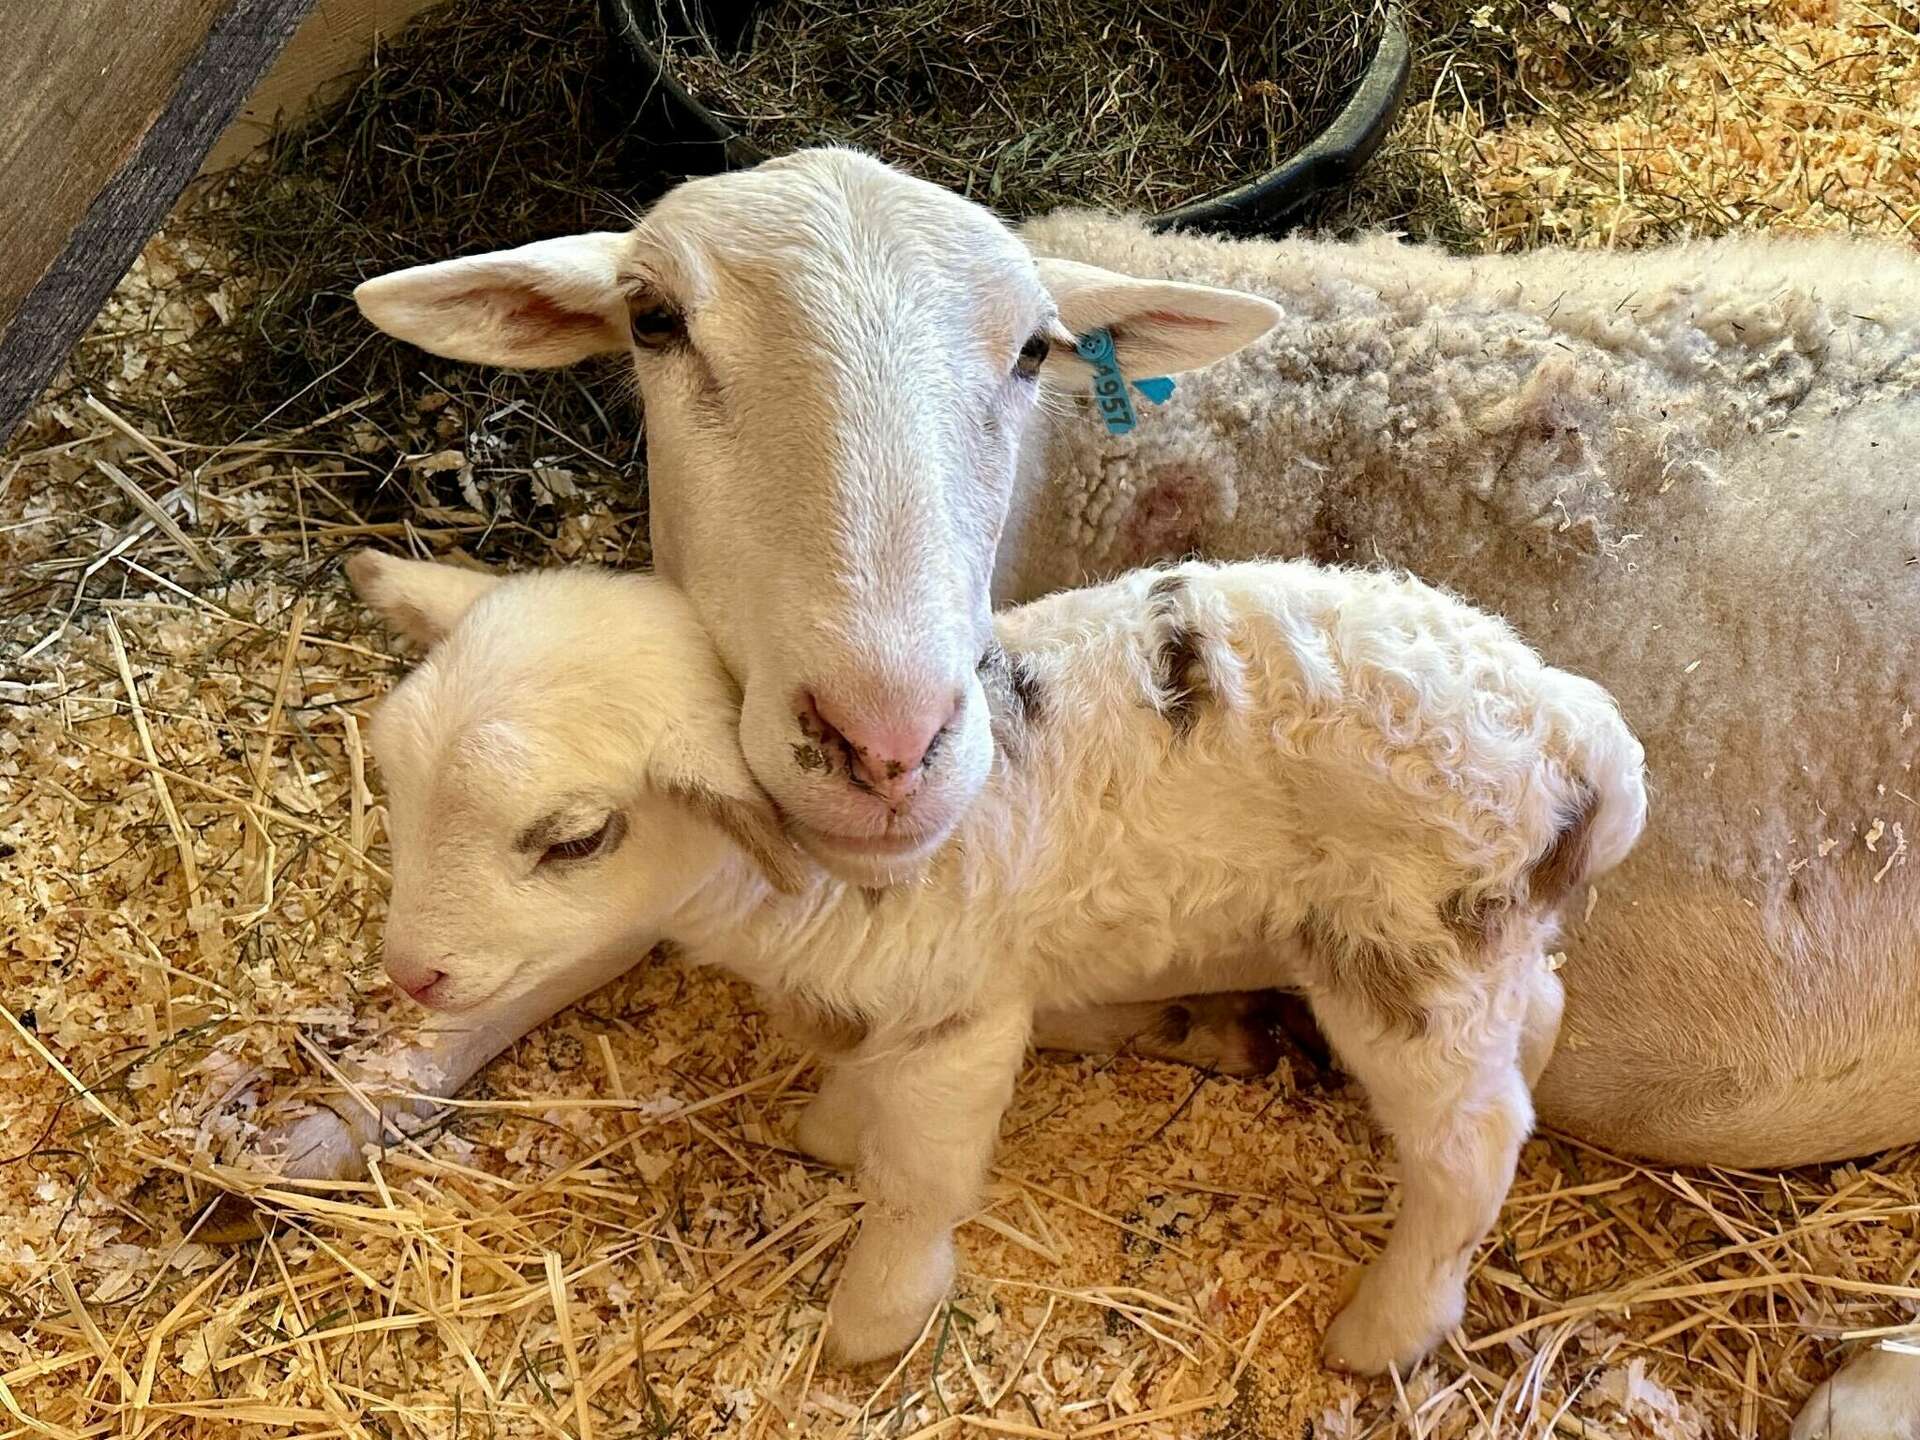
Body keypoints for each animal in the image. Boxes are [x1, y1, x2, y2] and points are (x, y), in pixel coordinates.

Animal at [343, 546, 1648, 1373]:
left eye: (574, 839)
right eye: (389, 778)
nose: (414, 976)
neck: (800, 876)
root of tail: (1584, 738)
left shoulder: (957, 1014)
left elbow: (918, 1181)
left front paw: (874, 1317)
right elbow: (856, 1093)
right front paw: (832, 1125)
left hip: (1408, 955)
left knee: (1472, 1148)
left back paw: (1388, 1330)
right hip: (1491, 941)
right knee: (1538, 1016)